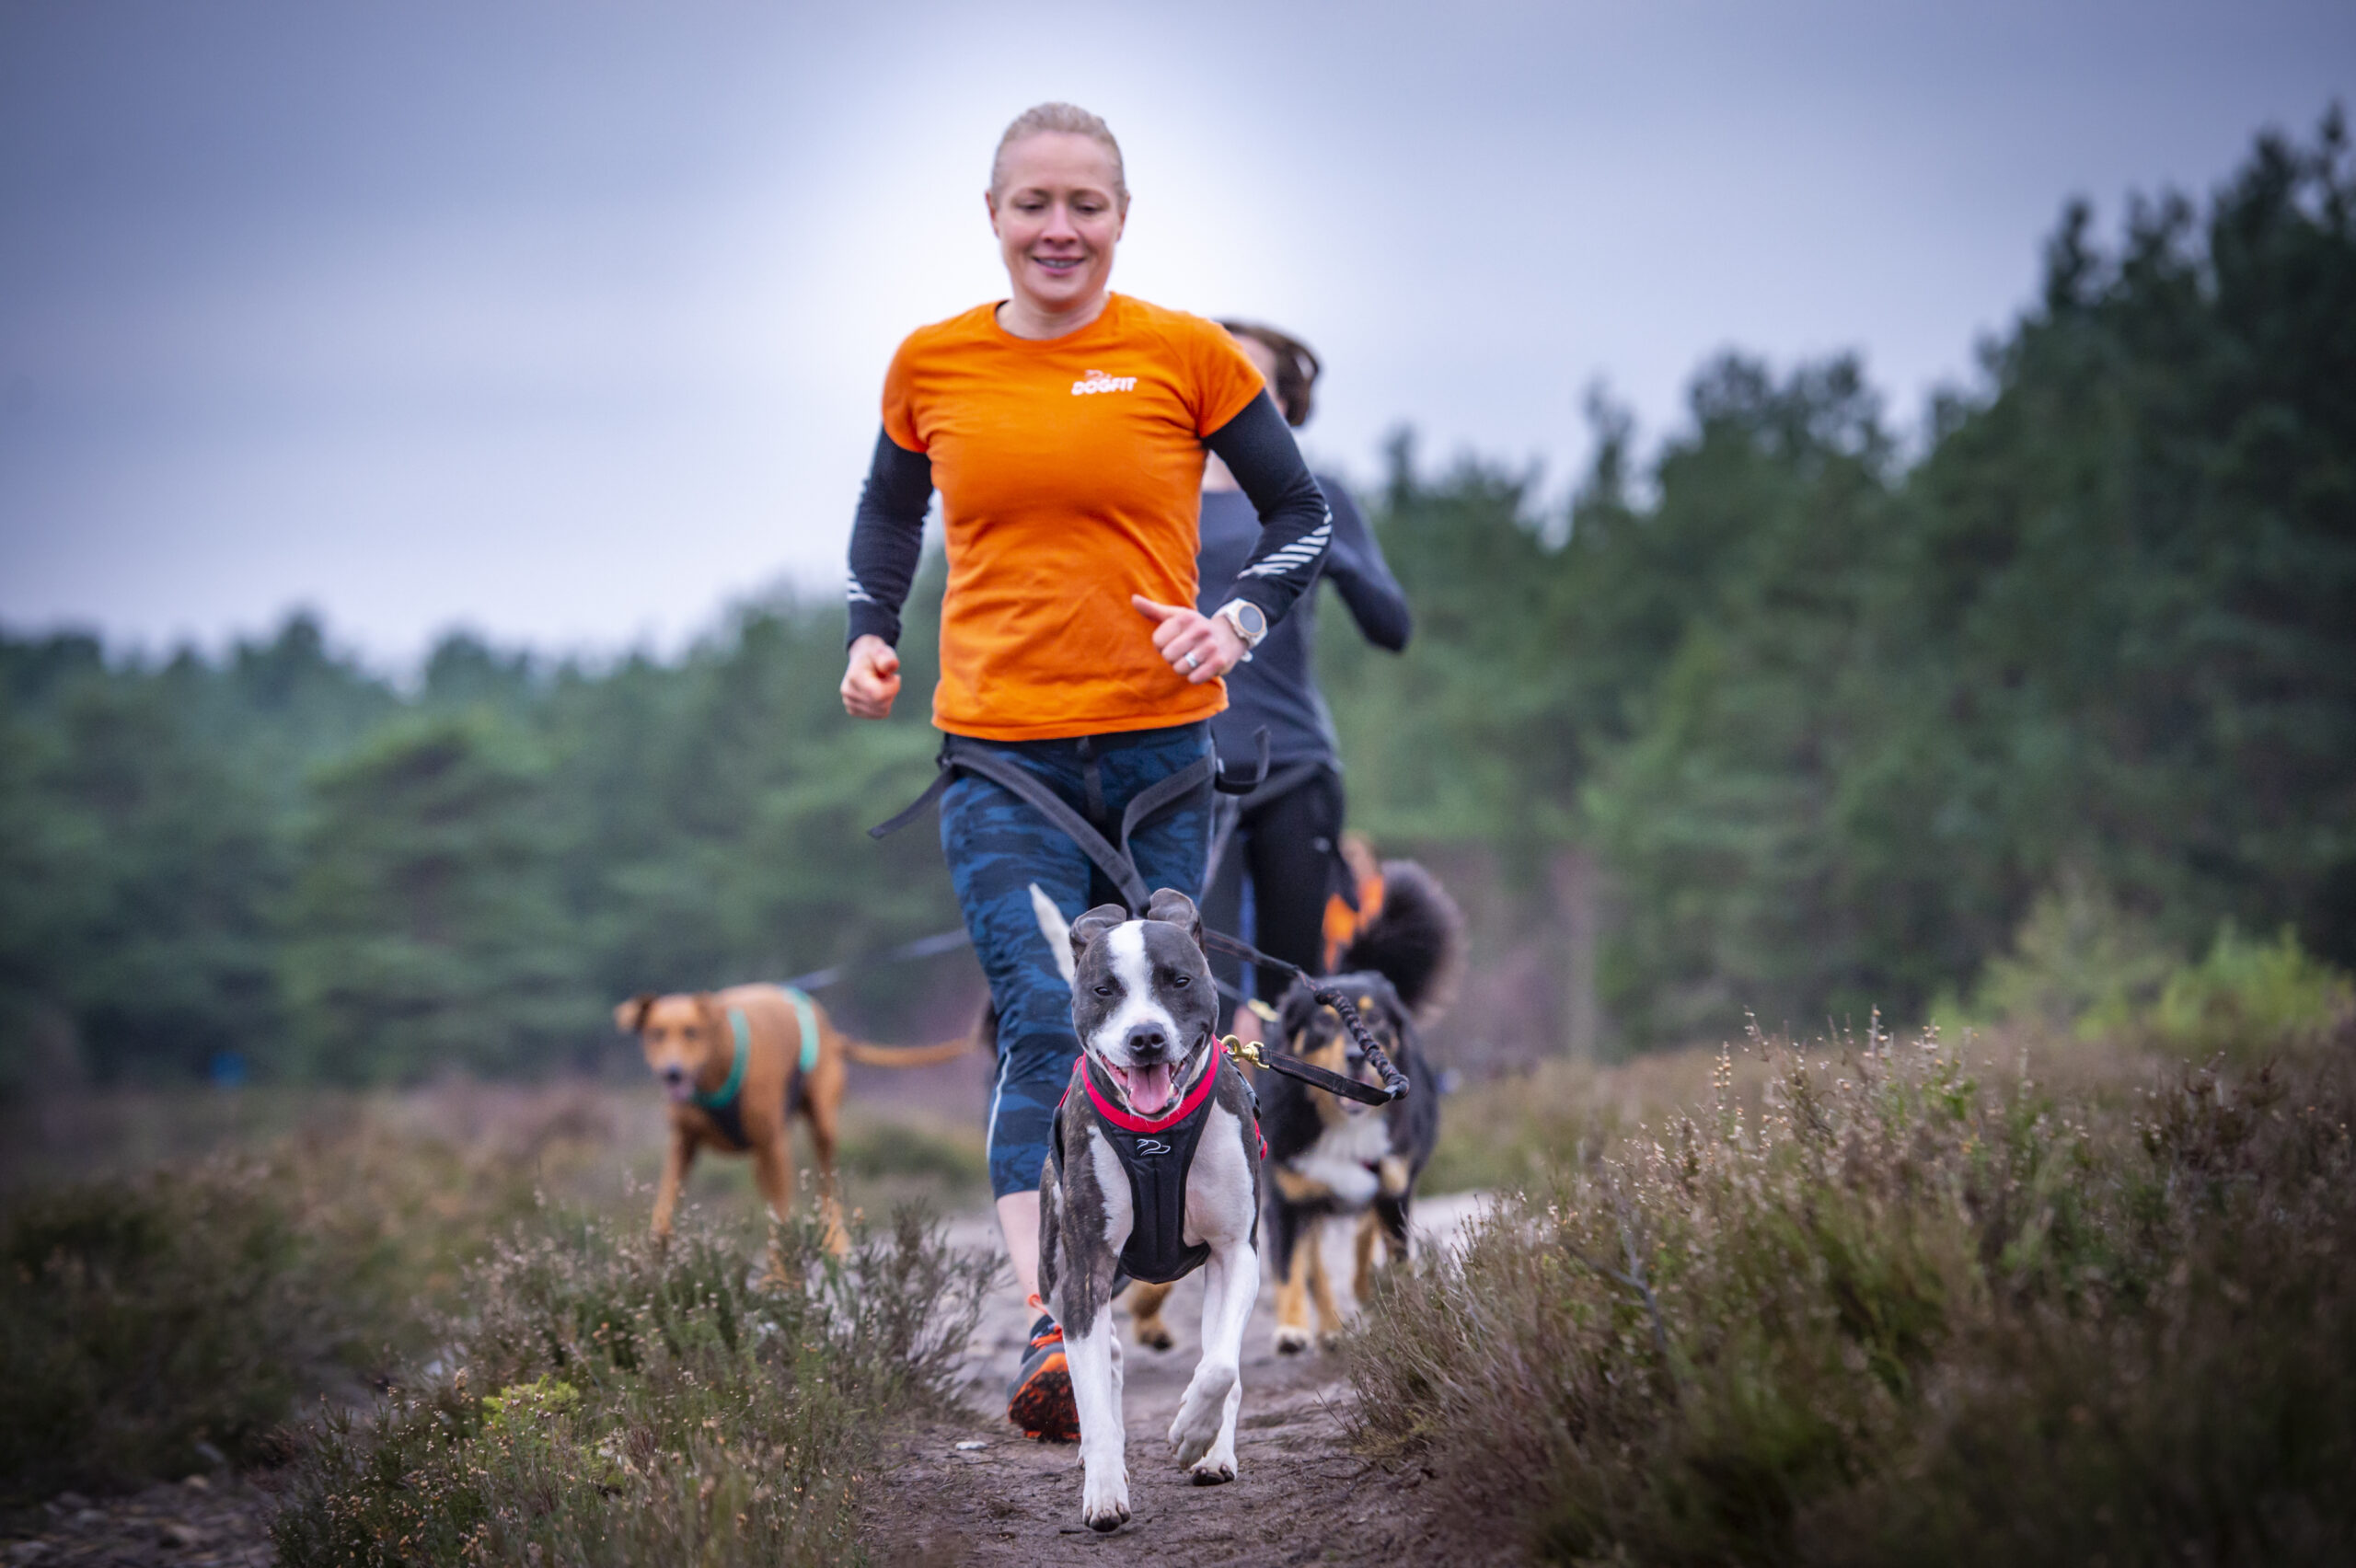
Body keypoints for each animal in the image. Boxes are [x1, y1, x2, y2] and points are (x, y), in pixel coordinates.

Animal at [617, 984, 975, 1252]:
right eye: (656, 1033)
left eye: (692, 1032)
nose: (672, 1072)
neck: (713, 1070)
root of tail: (831, 1032)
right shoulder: (683, 1145)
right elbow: (662, 1219)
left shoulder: (774, 1146)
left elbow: (781, 1224)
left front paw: (782, 1282)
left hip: (821, 1126)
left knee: (827, 1189)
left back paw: (835, 1241)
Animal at [1036, 885, 1272, 1535]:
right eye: (1104, 990)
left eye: (1179, 980)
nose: (1146, 1038)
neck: (1157, 1137)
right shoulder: (1087, 1263)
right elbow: (1093, 1393)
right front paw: (1104, 1489)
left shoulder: (1235, 1251)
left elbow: (1219, 1367)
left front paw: (1194, 1432)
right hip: (1058, 1274)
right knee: (1104, 1354)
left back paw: (1214, 1452)